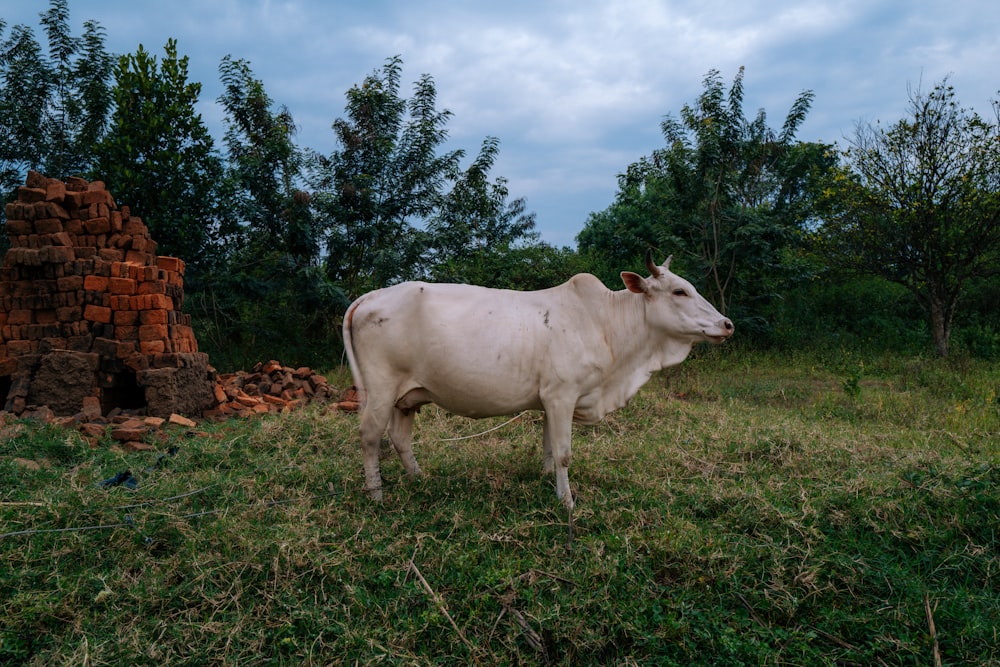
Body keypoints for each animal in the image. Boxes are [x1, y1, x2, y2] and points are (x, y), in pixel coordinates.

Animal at [340, 252, 732, 512]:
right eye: (679, 292)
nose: (726, 324)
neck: (606, 324)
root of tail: (370, 296)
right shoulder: (562, 396)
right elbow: (563, 453)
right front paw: (568, 501)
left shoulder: (550, 400)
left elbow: (547, 448)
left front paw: (548, 483)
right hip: (380, 389)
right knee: (370, 437)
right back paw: (376, 493)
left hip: (407, 396)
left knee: (400, 438)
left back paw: (419, 479)